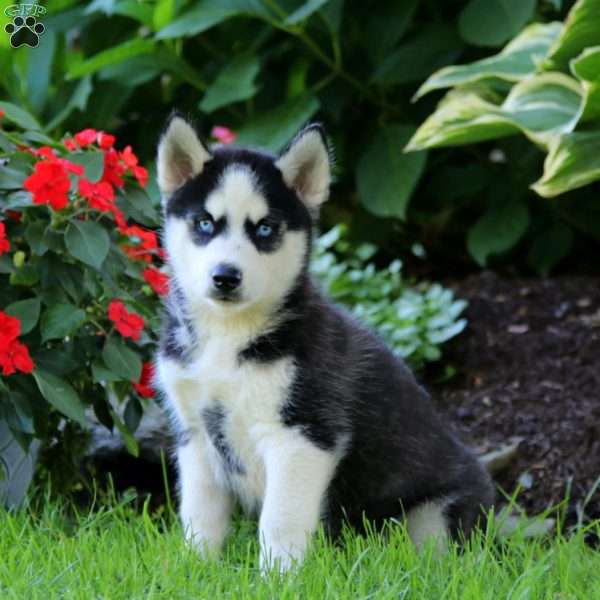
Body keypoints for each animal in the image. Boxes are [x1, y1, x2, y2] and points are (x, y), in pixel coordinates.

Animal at [154, 116, 492, 572]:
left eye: (265, 229)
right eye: (205, 223)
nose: (225, 276)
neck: (229, 337)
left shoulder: (303, 435)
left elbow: (279, 521)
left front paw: (278, 578)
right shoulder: (195, 434)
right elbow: (199, 514)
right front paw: (194, 568)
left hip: (431, 515)